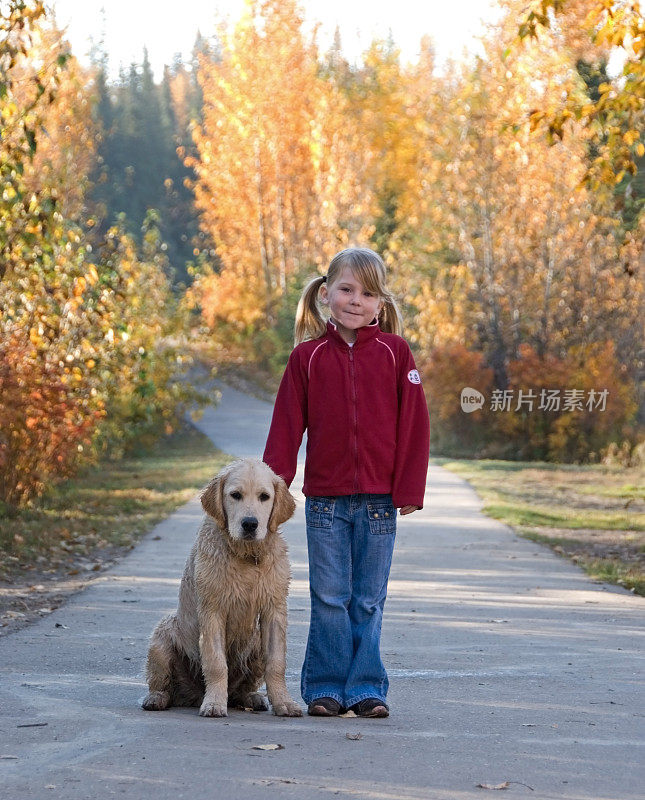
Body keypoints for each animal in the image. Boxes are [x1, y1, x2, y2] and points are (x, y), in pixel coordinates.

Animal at [141, 456, 302, 720]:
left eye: (264, 496)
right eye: (235, 495)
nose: (250, 524)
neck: (246, 556)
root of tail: (193, 694)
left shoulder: (274, 609)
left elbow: (276, 663)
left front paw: (284, 702)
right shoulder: (213, 609)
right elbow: (216, 663)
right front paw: (215, 703)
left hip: (255, 641)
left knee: (241, 689)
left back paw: (251, 697)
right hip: (162, 636)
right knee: (163, 683)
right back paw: (157, 698)